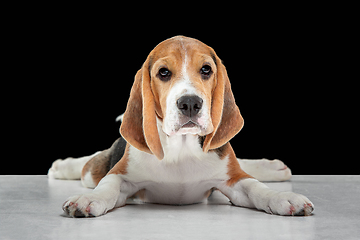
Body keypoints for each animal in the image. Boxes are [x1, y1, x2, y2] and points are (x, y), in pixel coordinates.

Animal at [49, 35, 314, 218]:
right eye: (164, 73)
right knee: (90, 165)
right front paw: (87, 200)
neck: (182, 149)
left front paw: (282, 198)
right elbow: (107, 186)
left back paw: (272, 168)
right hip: (95, 169)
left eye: (206, 69)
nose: (190, 103)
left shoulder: (234, 180)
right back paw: (63, 166)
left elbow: (255, 187)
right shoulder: (121, 175)